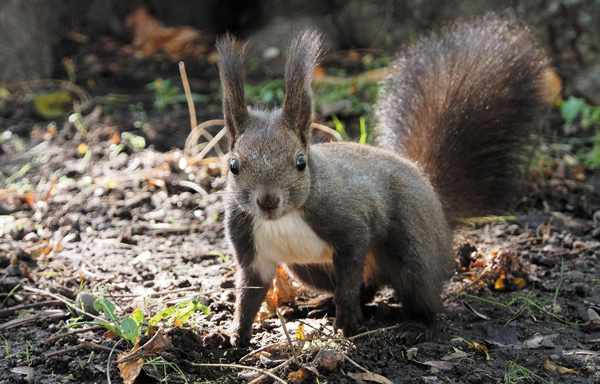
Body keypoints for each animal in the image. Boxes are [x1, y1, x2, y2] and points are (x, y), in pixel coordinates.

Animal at [216, 15, 548, 346]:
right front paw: (237, 335)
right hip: (307, 268)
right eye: (233, 165)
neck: (283, 220)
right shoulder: (250, 248)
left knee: (421, 295)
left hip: (412, 249)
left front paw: (348, 322)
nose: (268, 200)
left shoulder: (348, 224)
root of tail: (435, 200)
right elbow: (249, 295)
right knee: (368, 286)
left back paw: (415, 325)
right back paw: (323, 303)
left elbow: (350, 275)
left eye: (300, 163)